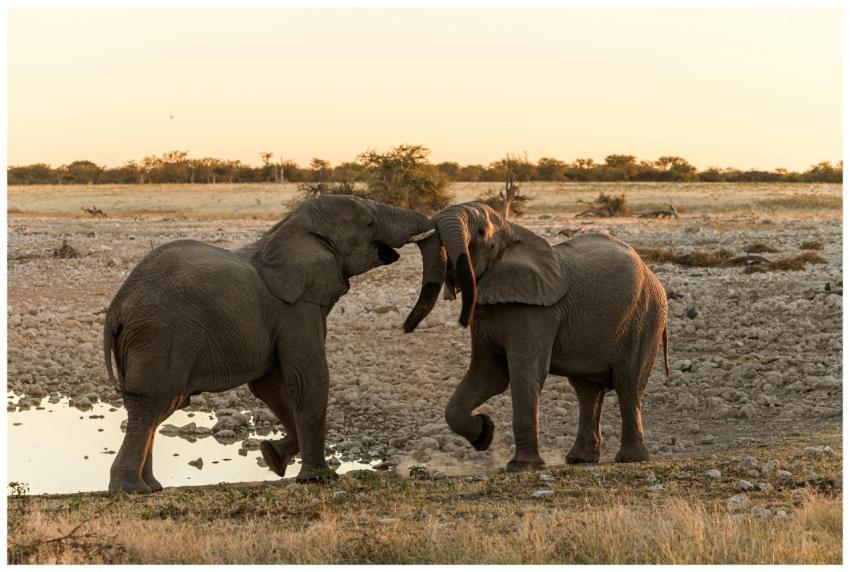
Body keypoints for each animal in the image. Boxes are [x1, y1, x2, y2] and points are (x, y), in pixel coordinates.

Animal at [103, 195, 434, 493]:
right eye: (368, 223)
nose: (407, 326)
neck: (288, 228)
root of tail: (118, 304)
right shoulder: (296, 308)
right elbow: (308, 379)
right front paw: (319, 478)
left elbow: (271, 388)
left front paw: (272, 457)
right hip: (161, 336)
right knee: (153, 403)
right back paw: (131, 489)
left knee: (155, 406)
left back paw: (152, 487)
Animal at [403, 202, 669, 471]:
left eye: (480, 233)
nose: (406, 328)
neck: (511, 231)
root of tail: (650, 272)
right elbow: (488, 375)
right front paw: (485, 433)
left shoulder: (537, 312)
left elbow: (524, 373)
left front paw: (521, 466)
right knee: (587, 390)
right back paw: (580, 460)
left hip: (646, 317)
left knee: (628, 383)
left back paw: (631, 458)